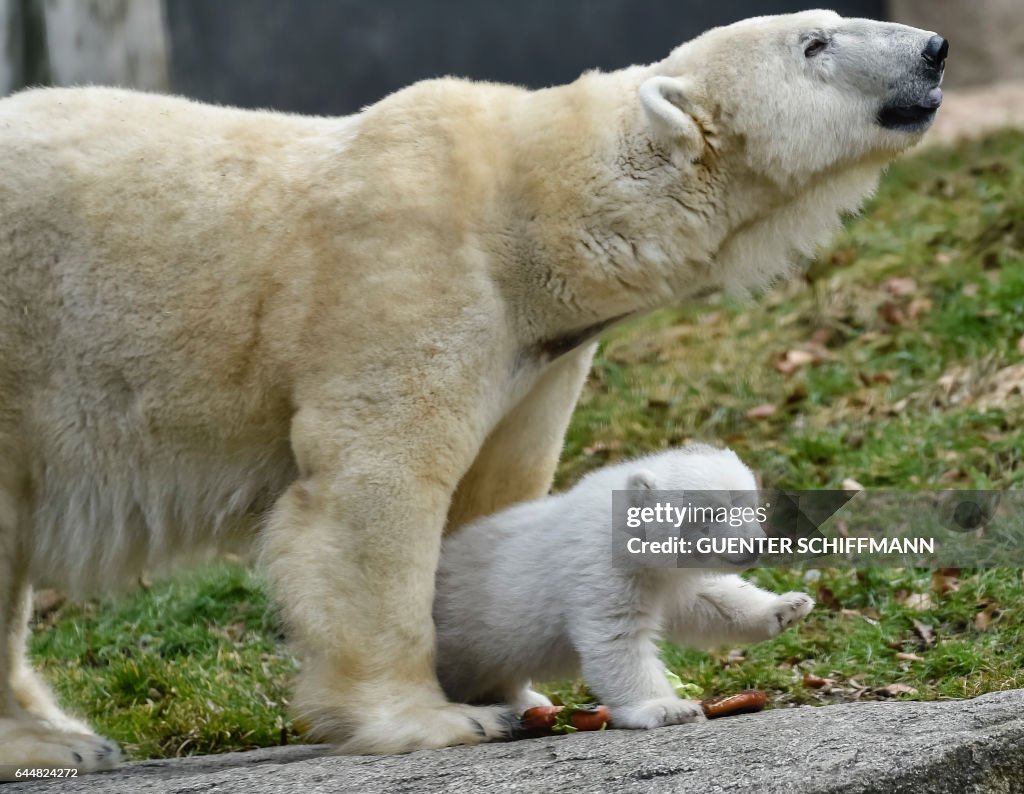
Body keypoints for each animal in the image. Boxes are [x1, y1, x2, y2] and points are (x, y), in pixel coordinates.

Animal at [0, 9, 942, 774]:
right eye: (813, 43)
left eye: (831, 20)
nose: (933, 50)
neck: (525, 210)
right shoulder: (404, 278)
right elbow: (374, 489)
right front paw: (436, 719)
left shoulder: (538, 355)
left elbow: (493, 492)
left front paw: (514, 689)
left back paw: (68, 737)